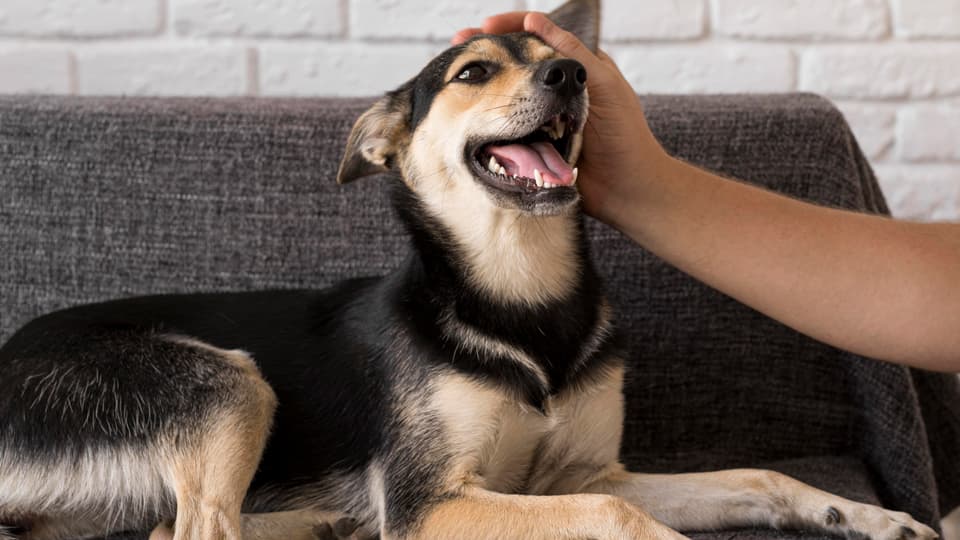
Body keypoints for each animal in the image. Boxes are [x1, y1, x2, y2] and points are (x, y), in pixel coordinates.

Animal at [0, 1, 940, 539]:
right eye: (474, 70)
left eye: (566, 63)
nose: (572, 71)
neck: (520, 289)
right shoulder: (433, 503)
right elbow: (617, 515)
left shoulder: (580, 473)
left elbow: (754, 475)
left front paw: (860, 513)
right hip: (226, 383)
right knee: (194, 529)